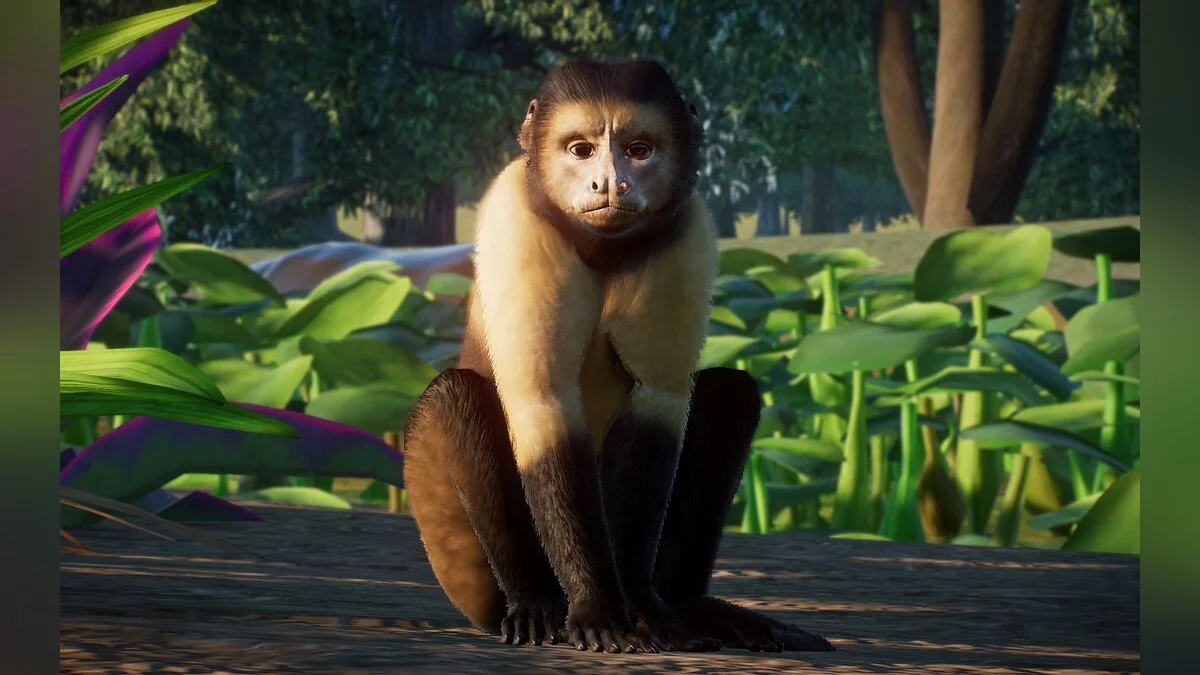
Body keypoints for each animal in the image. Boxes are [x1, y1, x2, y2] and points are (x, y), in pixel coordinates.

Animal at [402, 59, 834, 655]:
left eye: (638, 149)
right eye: (581, 149)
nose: (609, 181)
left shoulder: (686, 226)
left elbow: (659, 401)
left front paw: (639, 603)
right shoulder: (513, 211)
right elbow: (543, 403)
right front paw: (598, 602)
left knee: (730, 392)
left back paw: (689, 603)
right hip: (447, 539)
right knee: (456, 394)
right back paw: (536, 601)